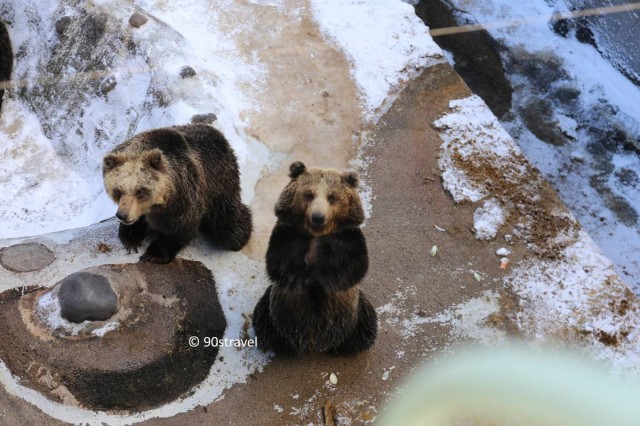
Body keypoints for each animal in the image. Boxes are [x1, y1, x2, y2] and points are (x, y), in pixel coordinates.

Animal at [102, 123, 252, 264]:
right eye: (117, 191)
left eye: (140, 191)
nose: (122, 215)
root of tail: (219, 135)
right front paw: (131, 237)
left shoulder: (186, 194)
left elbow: (180, 228)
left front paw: (153, 254)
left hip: (220, 186)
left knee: (229, 228)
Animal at [252, 161, 377, 355]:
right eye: (309, 194)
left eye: (332, 197)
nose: (318, 217)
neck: (316, 235)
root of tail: (315, 345)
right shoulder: (286, 234)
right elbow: (277, 264)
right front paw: (297, 276)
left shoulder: (350, 238)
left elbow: (355, 267)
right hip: (274, 311)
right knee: (263, 322)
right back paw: (280, 345)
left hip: (355, 313)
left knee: (367, 326)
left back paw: (348, 347)